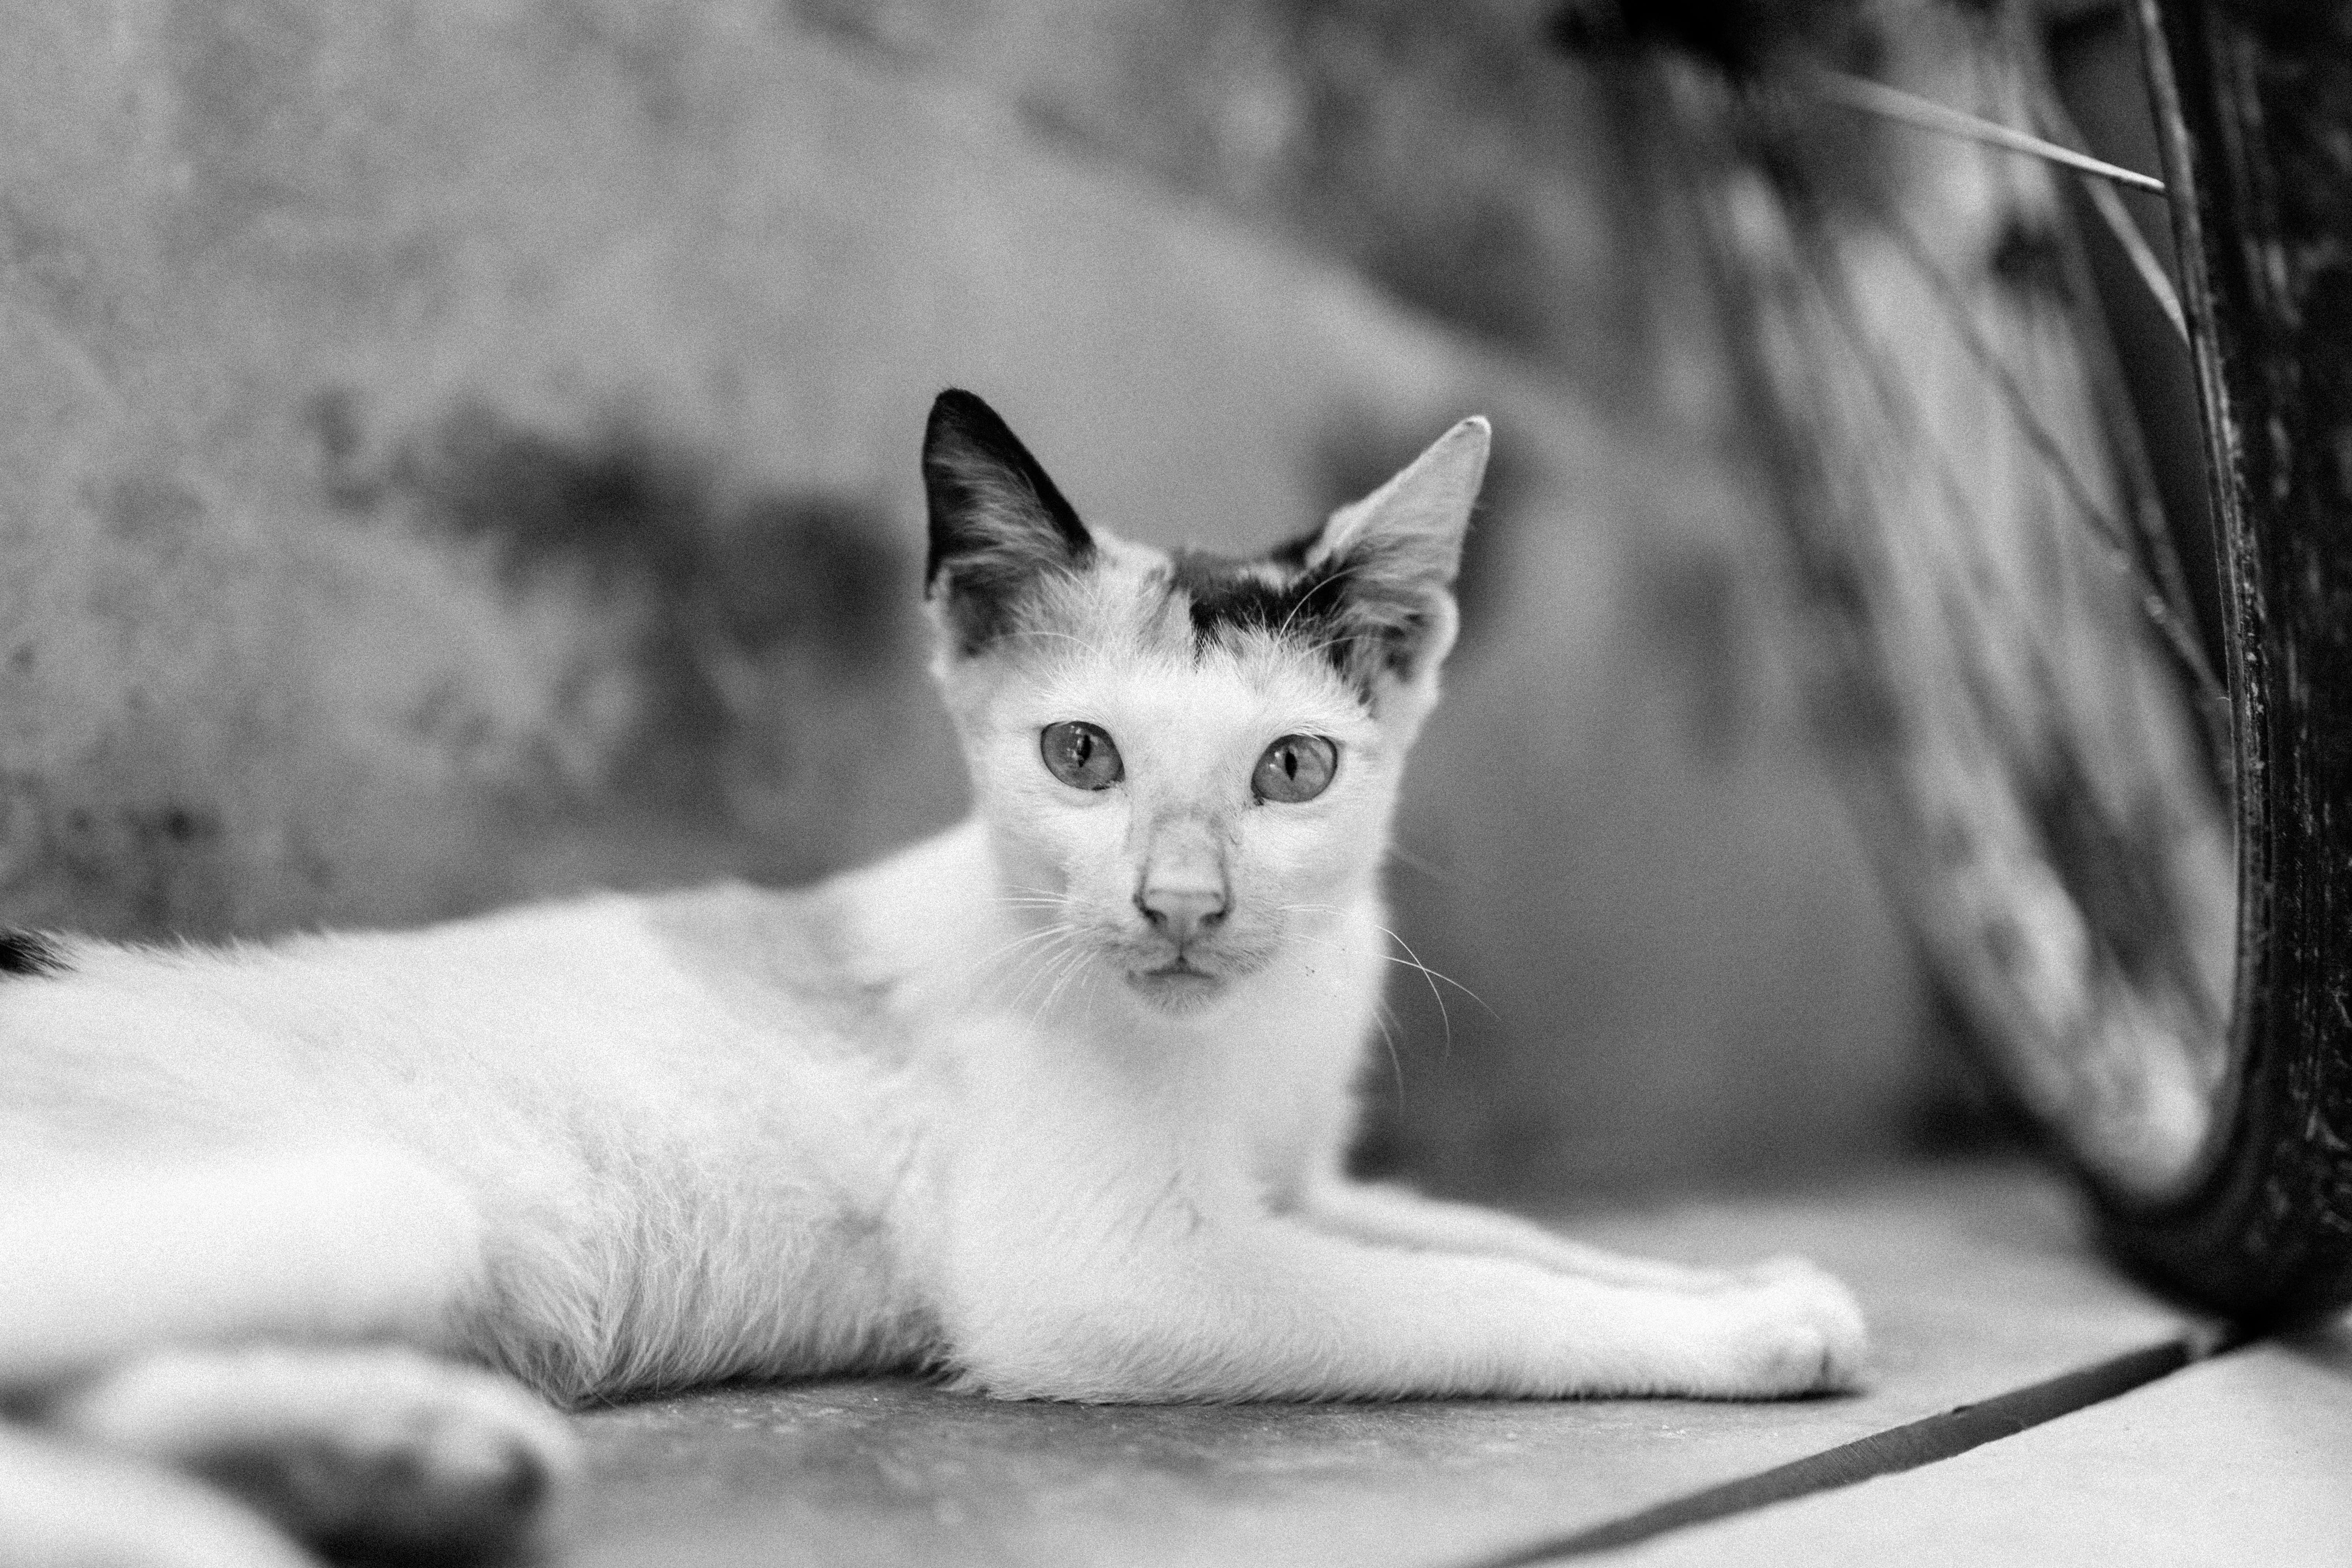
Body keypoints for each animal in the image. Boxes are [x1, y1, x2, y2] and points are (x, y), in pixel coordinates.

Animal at [4, 392, 1872, 1561]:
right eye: (1079, 754)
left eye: (1291, 770)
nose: (1180, 905)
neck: (1238, 1030)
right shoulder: (1113, 1274)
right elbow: (1454, 1297)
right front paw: (1743, 1327)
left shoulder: (1303, 1178)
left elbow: (1482, 1231)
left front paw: (1744, 1275)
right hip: (369, 1195)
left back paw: (404, 1453)